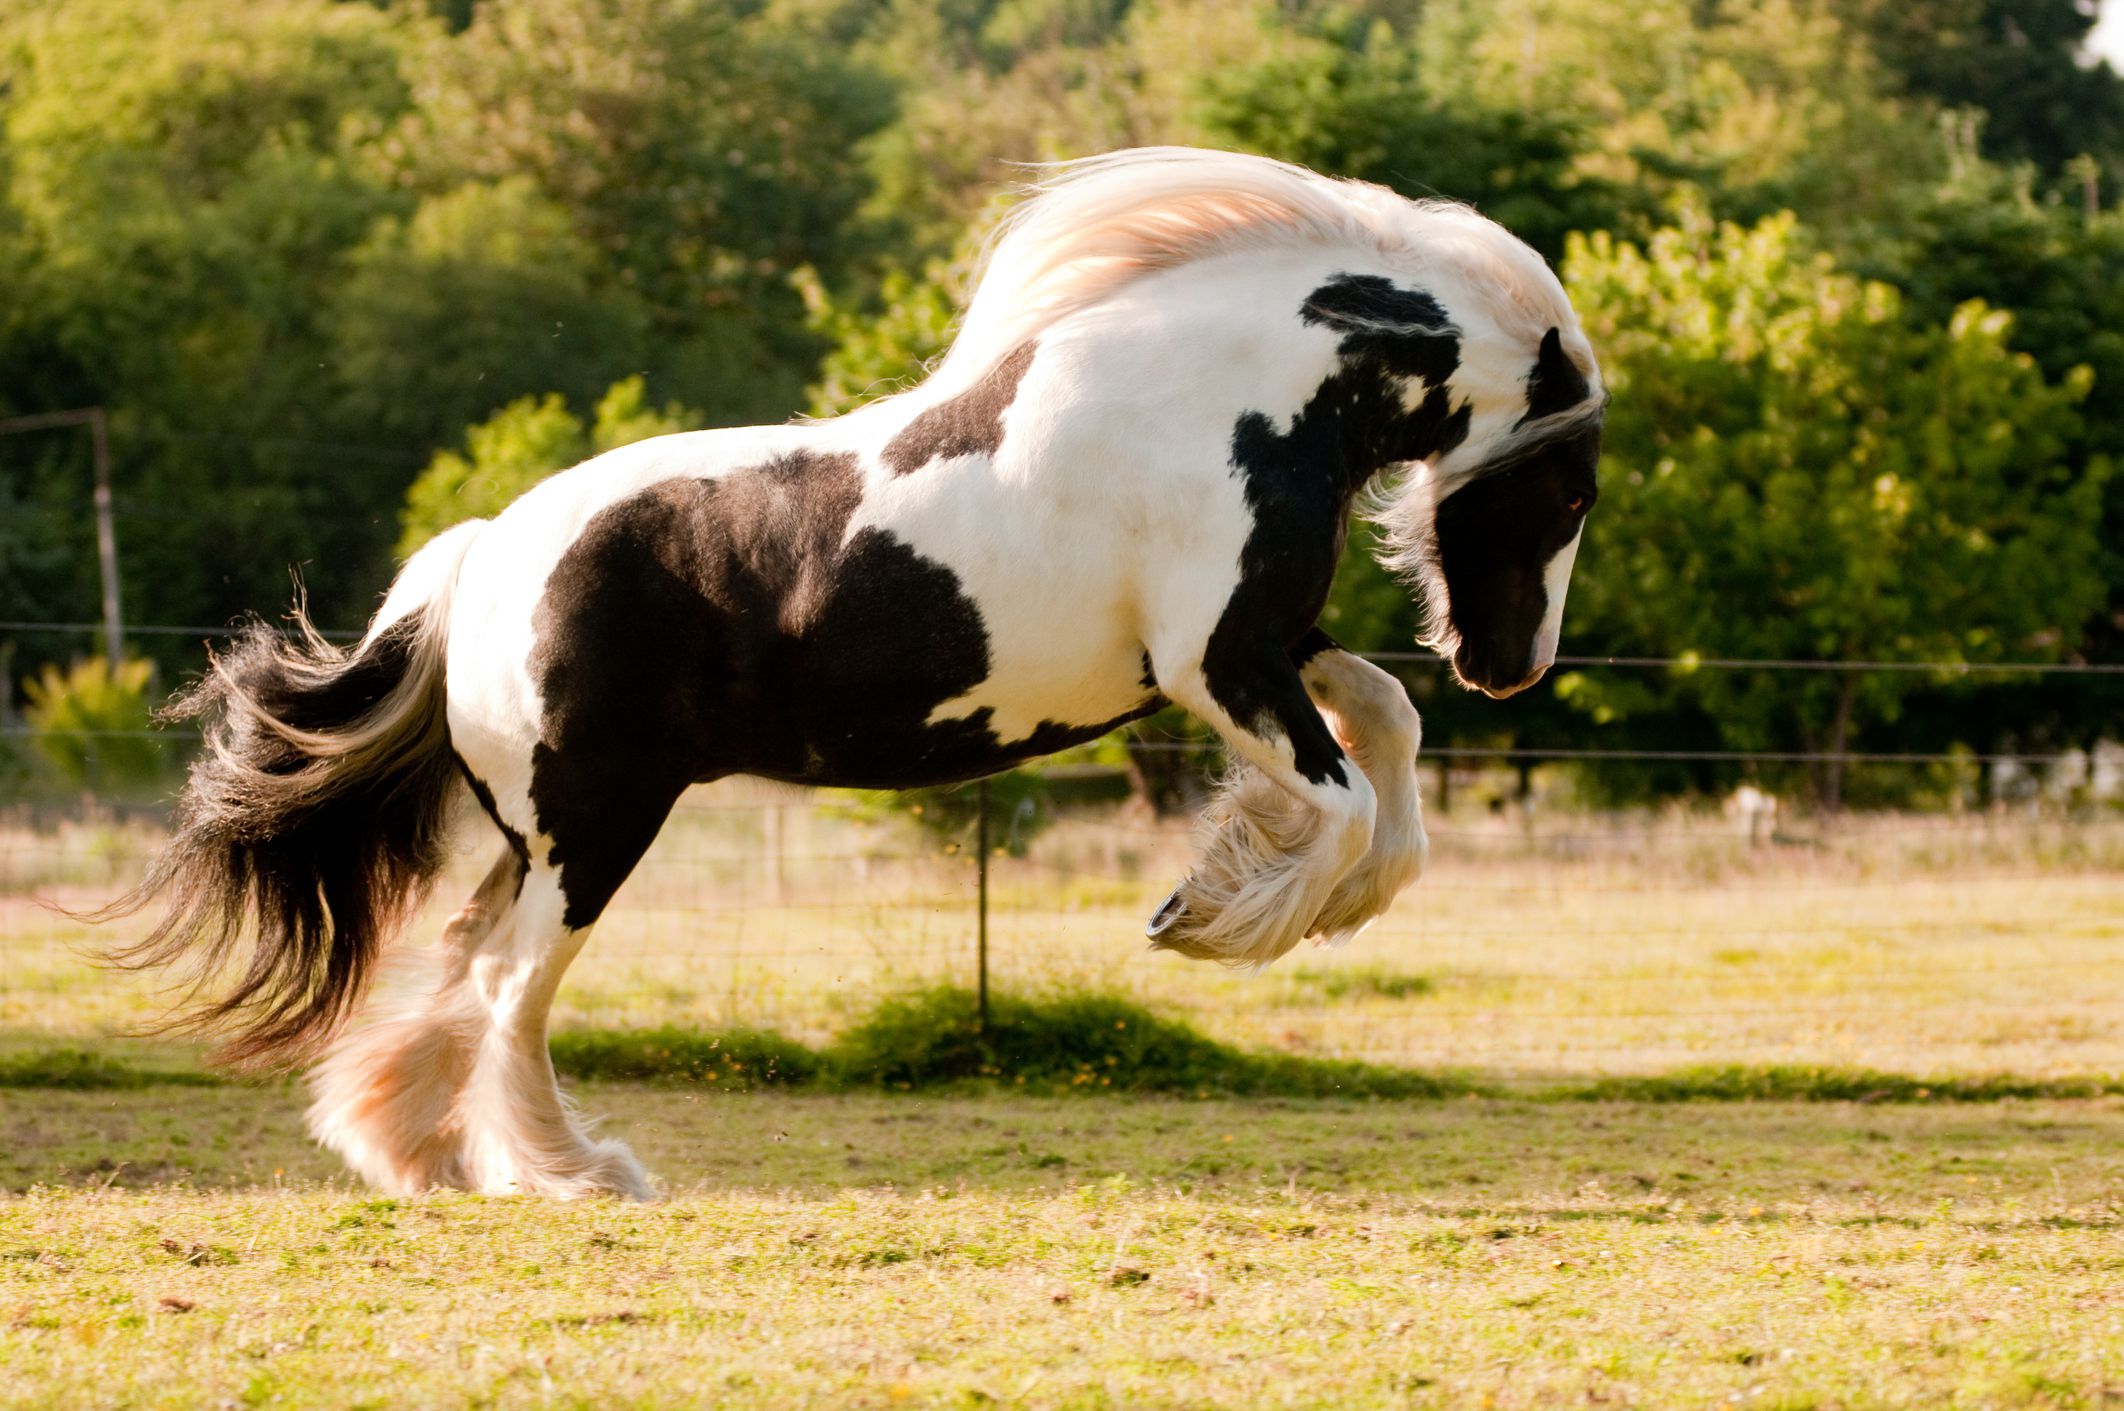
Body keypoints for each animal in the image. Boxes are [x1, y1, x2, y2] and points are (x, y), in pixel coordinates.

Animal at [99, 148, 1597, 1198]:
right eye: (1573, 491)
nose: (1507, 665)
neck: (1225, 397)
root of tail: (479, 562)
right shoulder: (1215, 662)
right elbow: (1341, 797)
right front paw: (1216, 916)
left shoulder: (1265, 645)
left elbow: (1386, 728)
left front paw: (1284, 898)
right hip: (595, 829)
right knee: (513, 987)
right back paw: (573, 1172)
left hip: (539, 836)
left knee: (467, 967)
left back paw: (415, 1152)